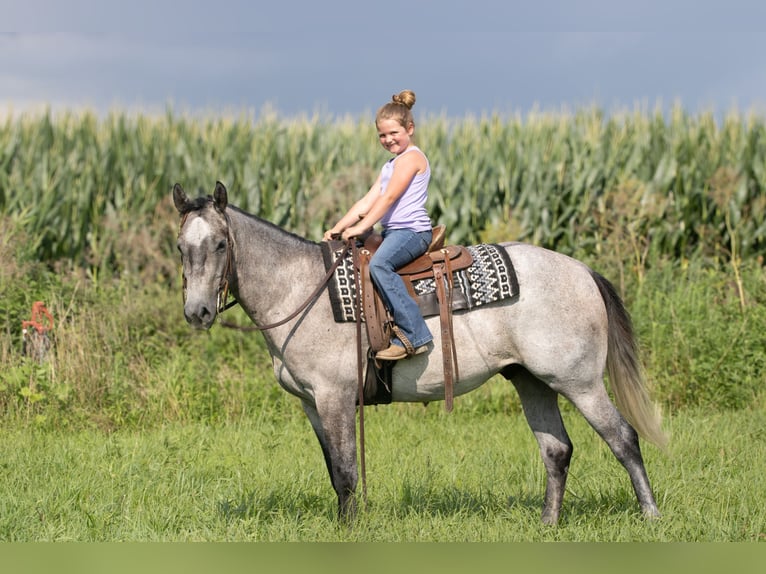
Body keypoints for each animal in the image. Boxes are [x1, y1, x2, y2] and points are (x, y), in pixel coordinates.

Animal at [173, 181, 667, 525]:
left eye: (220, 244)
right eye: (181, 247)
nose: (197, 312)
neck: (300, 289)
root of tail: (582, 270)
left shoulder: (335, 398)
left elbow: (347, 473)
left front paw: (348, 532)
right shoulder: (313, 405)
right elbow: (334, 472)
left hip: (579, 382)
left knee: (623, 438)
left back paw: (650, 515)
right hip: (532, 381)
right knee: (557, 451)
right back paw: (548, 522)